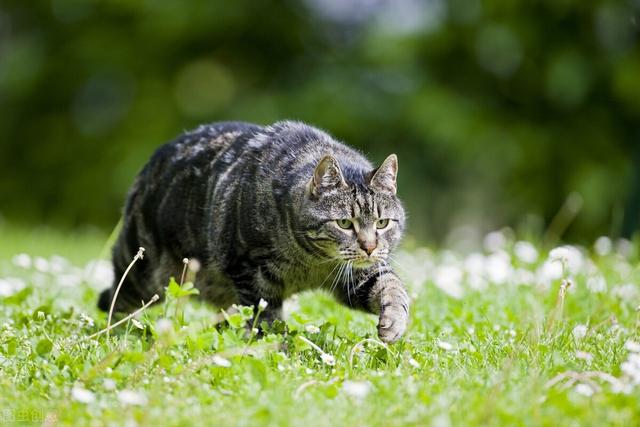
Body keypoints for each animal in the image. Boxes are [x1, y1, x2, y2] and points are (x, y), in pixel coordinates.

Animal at [100, 121, 410, 344]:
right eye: (345, 223)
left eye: (382, 223)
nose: (369, 247)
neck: (312, 262)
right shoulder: (251, 273)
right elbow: (267, 319)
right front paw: (276, 348)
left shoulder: (358, 276)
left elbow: (393, 287)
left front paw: (394, 322)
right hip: (141, 271)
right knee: (115, 299)